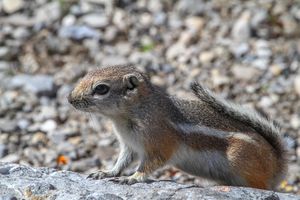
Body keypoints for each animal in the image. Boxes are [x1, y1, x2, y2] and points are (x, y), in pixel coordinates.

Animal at [68, 65, 286, 189]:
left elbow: (150, 164)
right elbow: (122, 161)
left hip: (240, 158)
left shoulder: (160, 142)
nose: (70, 99)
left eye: (101, 88)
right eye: (85, 75)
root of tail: (278, 165)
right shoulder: (129, 145)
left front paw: (133, 178)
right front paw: (107, 172)